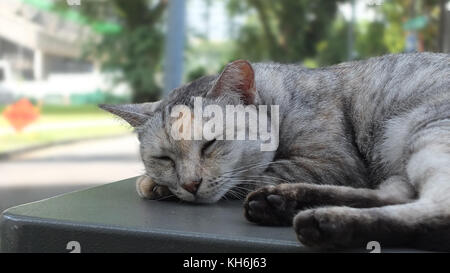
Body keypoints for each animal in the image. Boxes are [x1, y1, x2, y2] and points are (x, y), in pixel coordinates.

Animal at [100, 52, 450, 250]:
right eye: (164, 159)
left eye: (210, 144)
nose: (189, 184)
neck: (279, 101)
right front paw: (157, 182)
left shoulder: (335, 162)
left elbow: (256, 175)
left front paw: (155, 185)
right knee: (399, 196)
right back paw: (283, 202)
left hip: (423, 131)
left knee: (436, 209)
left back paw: (323, 221)